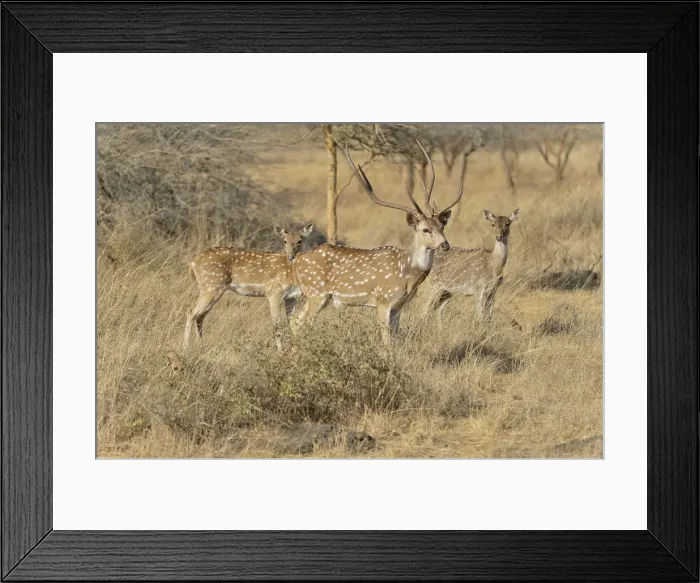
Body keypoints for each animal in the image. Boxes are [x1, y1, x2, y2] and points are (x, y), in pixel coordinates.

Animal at [183, 223, 314, 352]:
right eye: (285, 241)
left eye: (299, 241)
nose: (291, 256)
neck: (293, 274)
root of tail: (193, 263)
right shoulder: (274, 293)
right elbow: (277, 325)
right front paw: (280, 352)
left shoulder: (291, 297)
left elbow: (292, 322)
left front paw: (294, 349)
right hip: (212, 286)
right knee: (191, 312)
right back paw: (185, 348)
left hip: (212, 289)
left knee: (200, 316)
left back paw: (200, 345)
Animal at [290, 141, 462, 345]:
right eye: (425, 229)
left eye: (442, 226)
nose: (445, 245)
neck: (407, 273)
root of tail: (297, 261)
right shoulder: (383, 300)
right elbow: (386, 341)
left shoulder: (398, 306)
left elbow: (396, 339)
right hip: (316, 293)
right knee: (302, 323)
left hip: (313, 296)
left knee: (294, 319)